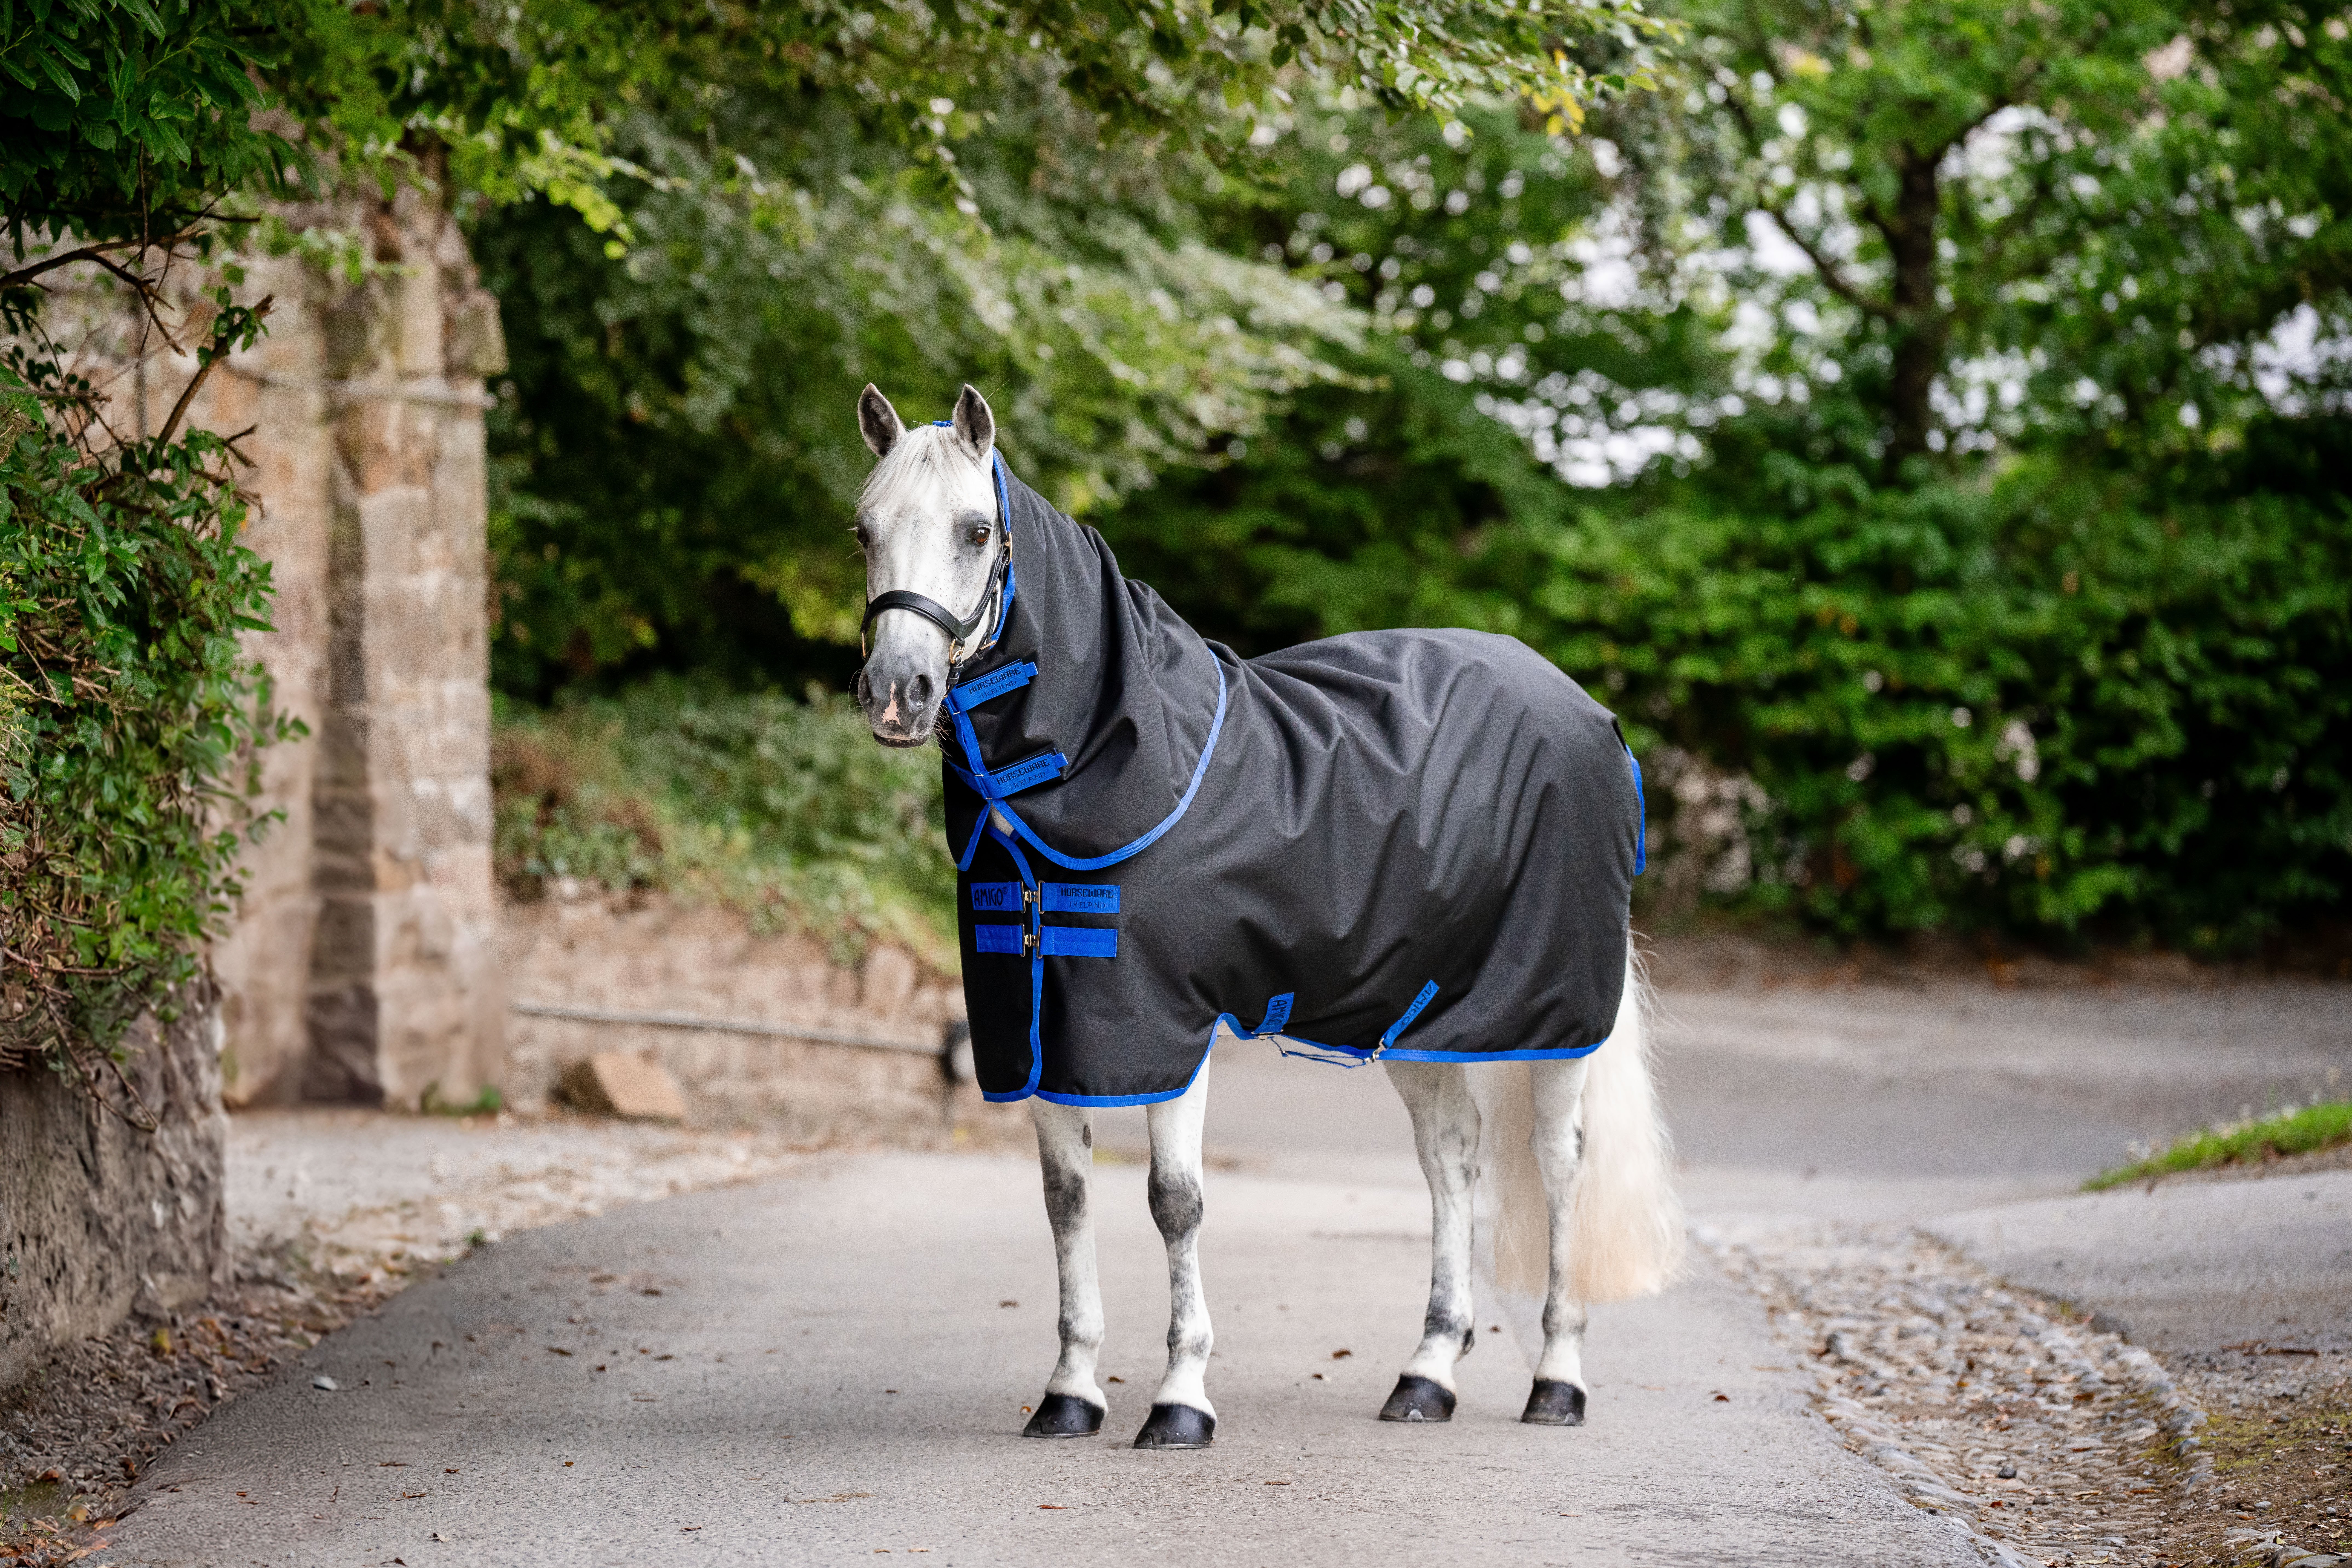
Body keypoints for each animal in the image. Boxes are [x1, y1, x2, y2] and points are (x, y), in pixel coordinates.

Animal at [849, 381, 1685, 1449]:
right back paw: (1426, 1374)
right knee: (1450, 1158)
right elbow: (1065, 1200)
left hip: (1556, 1013)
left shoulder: (1168, 1026)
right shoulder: (1039, 1028)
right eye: (863, 528)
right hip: (1416, 1012)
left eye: (975, 529)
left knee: (1561, 1163)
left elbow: (1174, 1201)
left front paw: (1180, 1399)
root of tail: (1589, 713)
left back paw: (1557, 1378)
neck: (1109, 760)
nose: (897, 694)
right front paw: (1070, 1391)